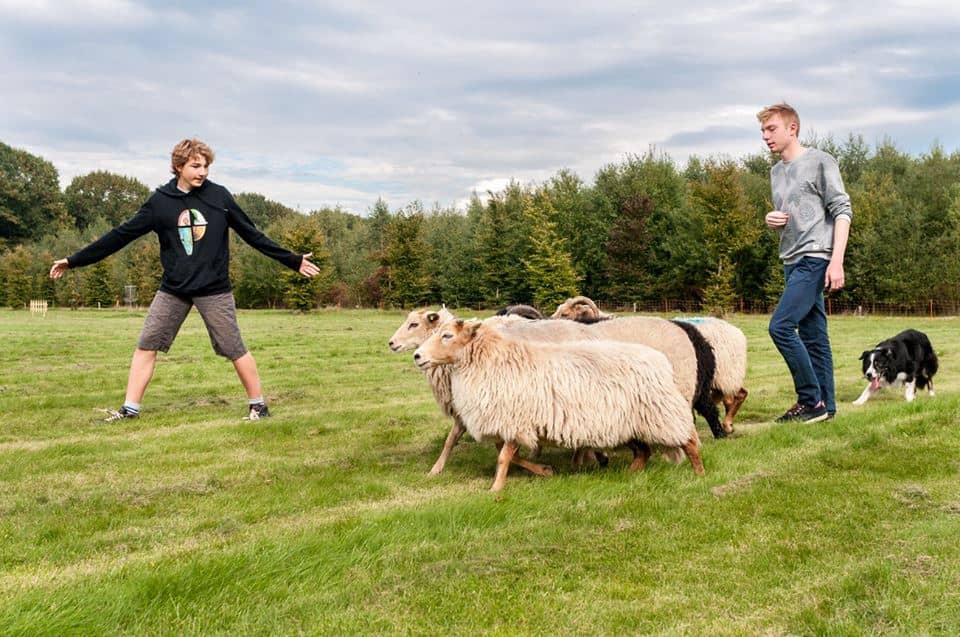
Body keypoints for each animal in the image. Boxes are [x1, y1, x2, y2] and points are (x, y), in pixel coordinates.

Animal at [414, 319, 704, 491]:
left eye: (447, 335)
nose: (417, 356)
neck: (492, 360)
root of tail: (660, 360)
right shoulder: (506, 423)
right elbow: (511, 456)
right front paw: (544, 470)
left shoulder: (515, 420)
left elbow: (504, 457)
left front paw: (496, 489)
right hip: (629, 423)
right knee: (643, 451)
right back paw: (629, 474)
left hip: (662, 413)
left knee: (690, 441)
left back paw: (699, 474)